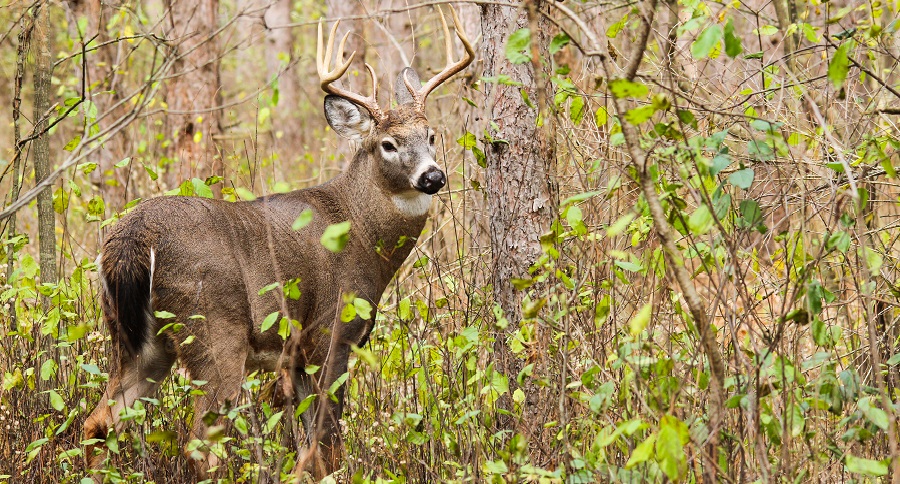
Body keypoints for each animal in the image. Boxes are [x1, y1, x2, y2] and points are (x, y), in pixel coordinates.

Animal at [85, 8, 474, 480]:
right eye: (388, 143)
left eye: (431, 135)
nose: (433, 176)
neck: (361, 233)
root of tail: (131, 240)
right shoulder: (330, 333)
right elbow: (329, 444)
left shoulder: (297, 357)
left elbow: (313, 446)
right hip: (214, 331)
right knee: (199, 444)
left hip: (137, 339)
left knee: (99, 422)